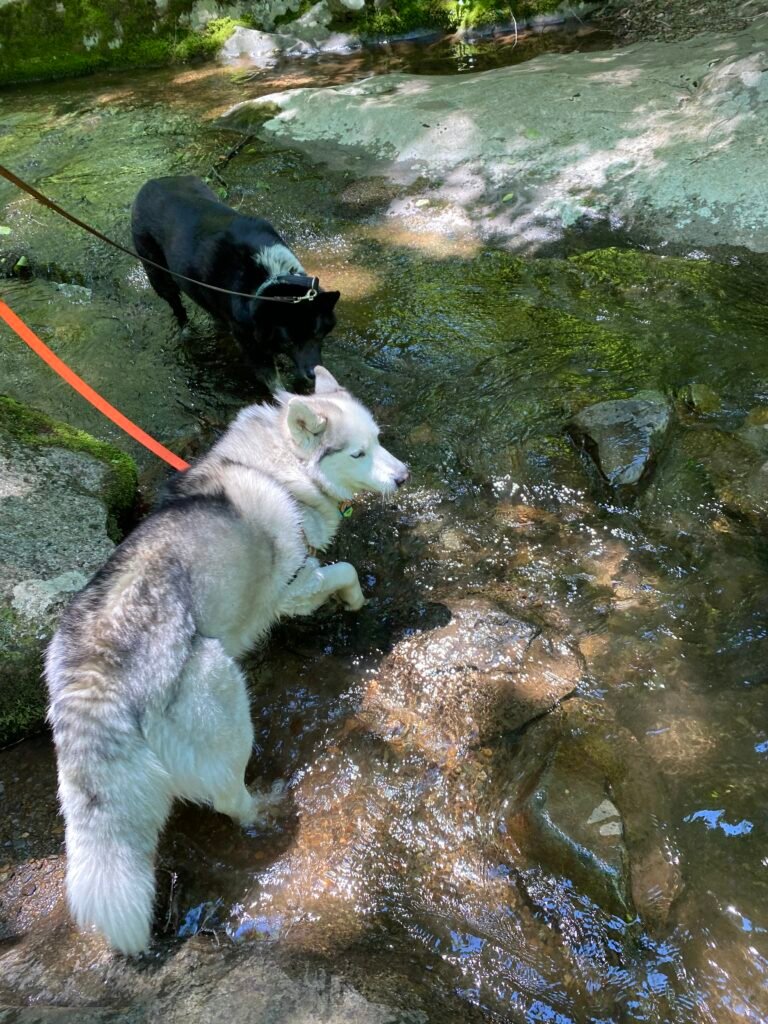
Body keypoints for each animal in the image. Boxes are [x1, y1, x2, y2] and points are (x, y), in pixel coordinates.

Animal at [45, 370, 409, 958]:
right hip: (224, 703)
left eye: (379, 440)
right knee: (227, 798)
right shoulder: (295, 585)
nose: (403, 475)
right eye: (358, 453)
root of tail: (96, 677)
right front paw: (356, 602)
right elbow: (345, 571)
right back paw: (264, 807)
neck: (278, 468)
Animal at [131, 176, 342, 387]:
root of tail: (151, 182)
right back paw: (186, 331)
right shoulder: (250, 344)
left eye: (317, 334)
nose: (313, 374)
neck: (269, 275)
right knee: (176, 305)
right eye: (288, 342)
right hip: (158, 275)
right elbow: (273, 381)